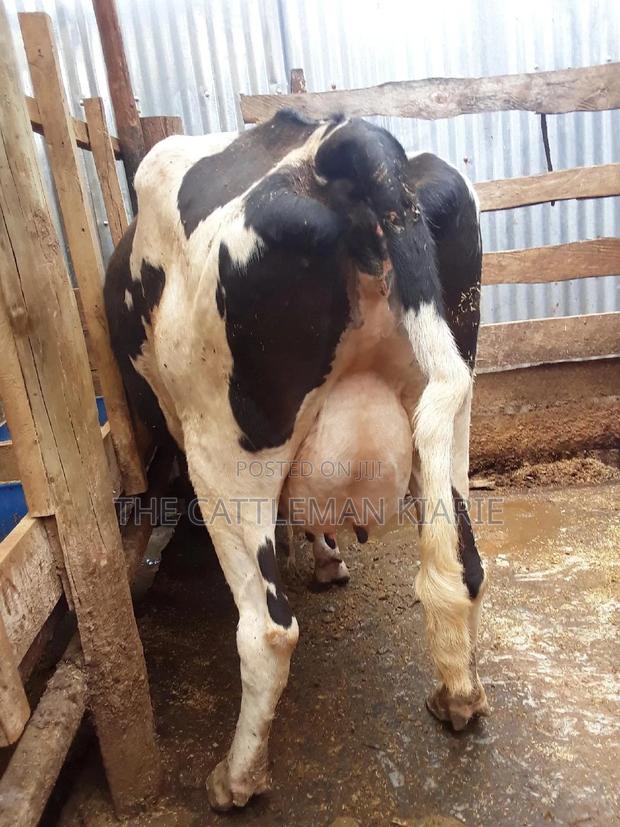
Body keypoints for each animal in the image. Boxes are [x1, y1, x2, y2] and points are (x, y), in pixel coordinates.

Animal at [104, 110, 489, 811]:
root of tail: (351, 140)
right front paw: (328, 558)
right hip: (451, 410)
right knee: (463, 569)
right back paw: (457, 698)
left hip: (222, 449)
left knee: (267, 630)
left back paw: (235, 778)